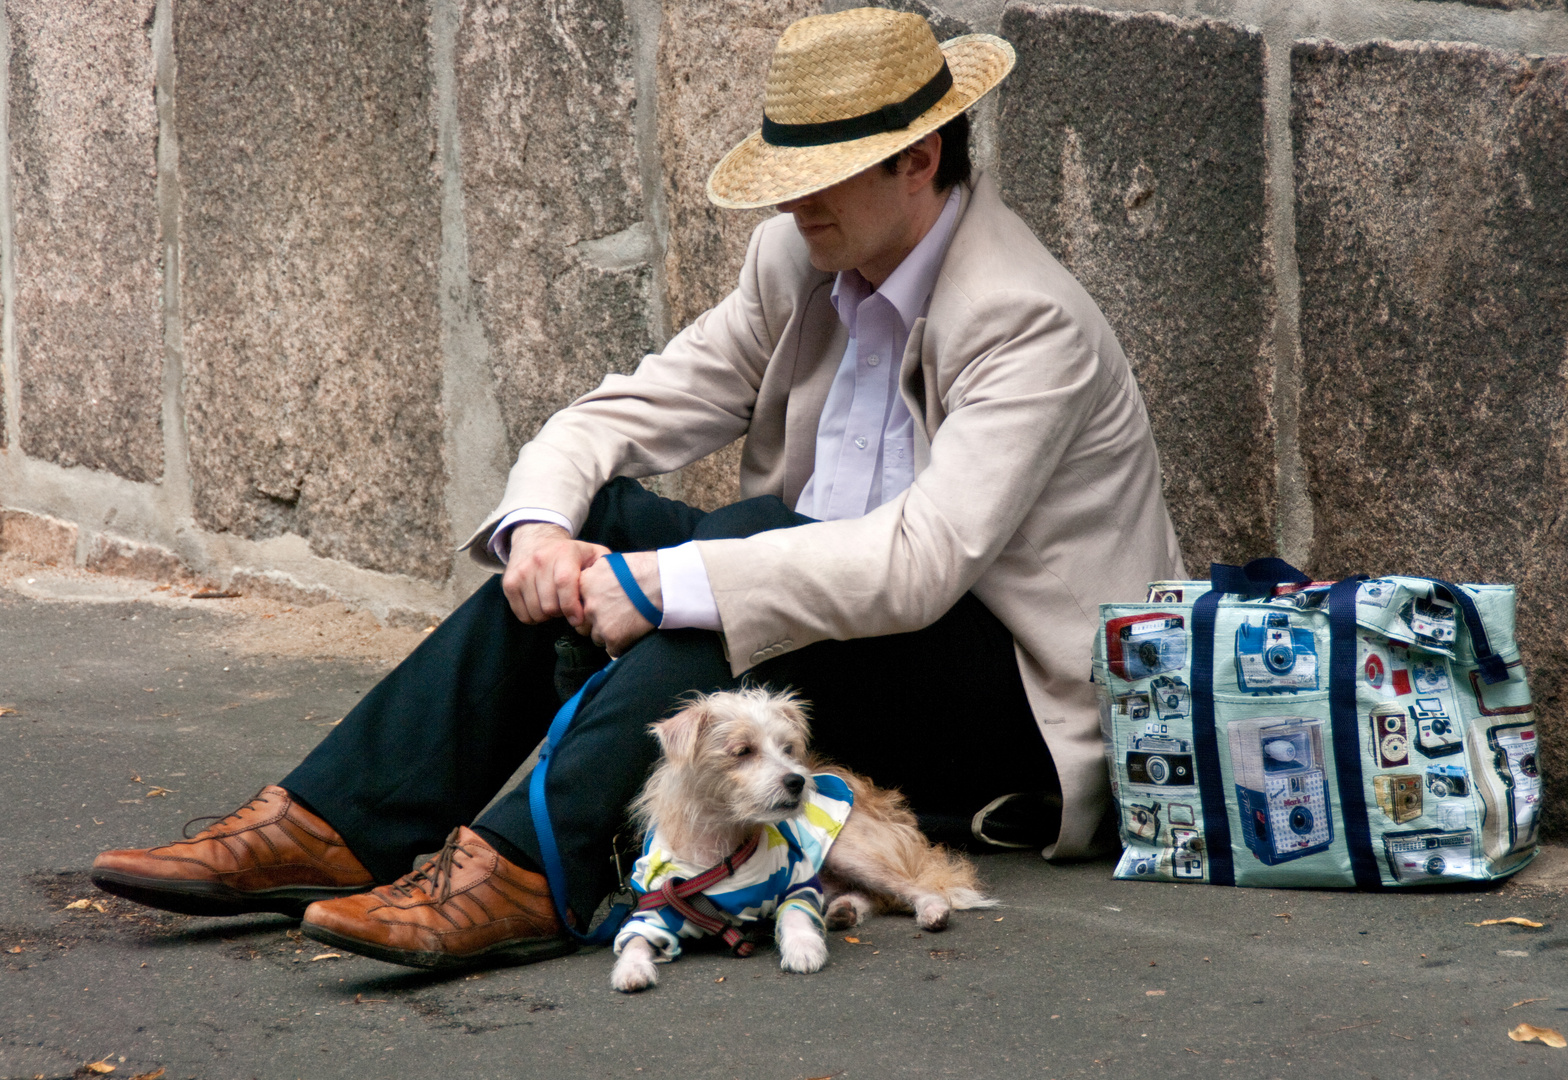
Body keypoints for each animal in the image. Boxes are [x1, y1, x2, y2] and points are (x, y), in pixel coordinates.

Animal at [611, 686, 990, 990]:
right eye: (743, 751)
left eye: (787, 748)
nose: (797, 781)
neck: (724, 850)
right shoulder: (652, 915)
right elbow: (632, 942)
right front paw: (630, 970)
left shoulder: (798, 886)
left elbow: (795, 916)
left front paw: (803, 948)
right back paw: (843, 910)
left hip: (847, 852)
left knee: (912, 888)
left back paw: (928, 909)